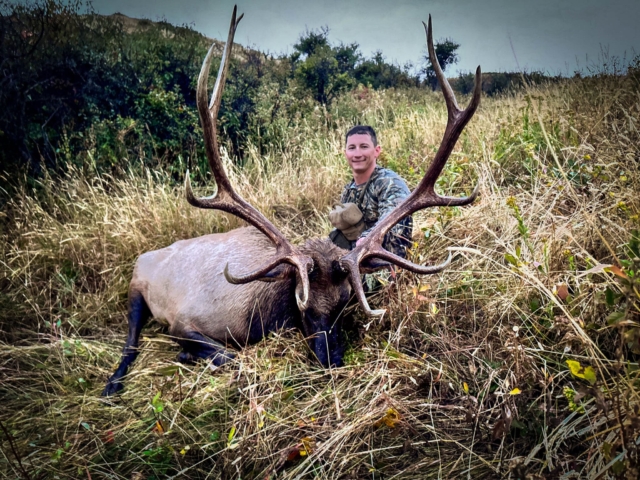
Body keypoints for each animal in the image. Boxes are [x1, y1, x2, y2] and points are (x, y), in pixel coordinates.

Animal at [101, 6, 481, 396]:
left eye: (345, 303)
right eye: (304, 306)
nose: (331, 362)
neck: (260, 312)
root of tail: (147, 255)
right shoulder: (183, 321)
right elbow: (230, 356)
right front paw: (186, 354)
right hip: (136, 287)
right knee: (131, 339)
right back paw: (114, 382)